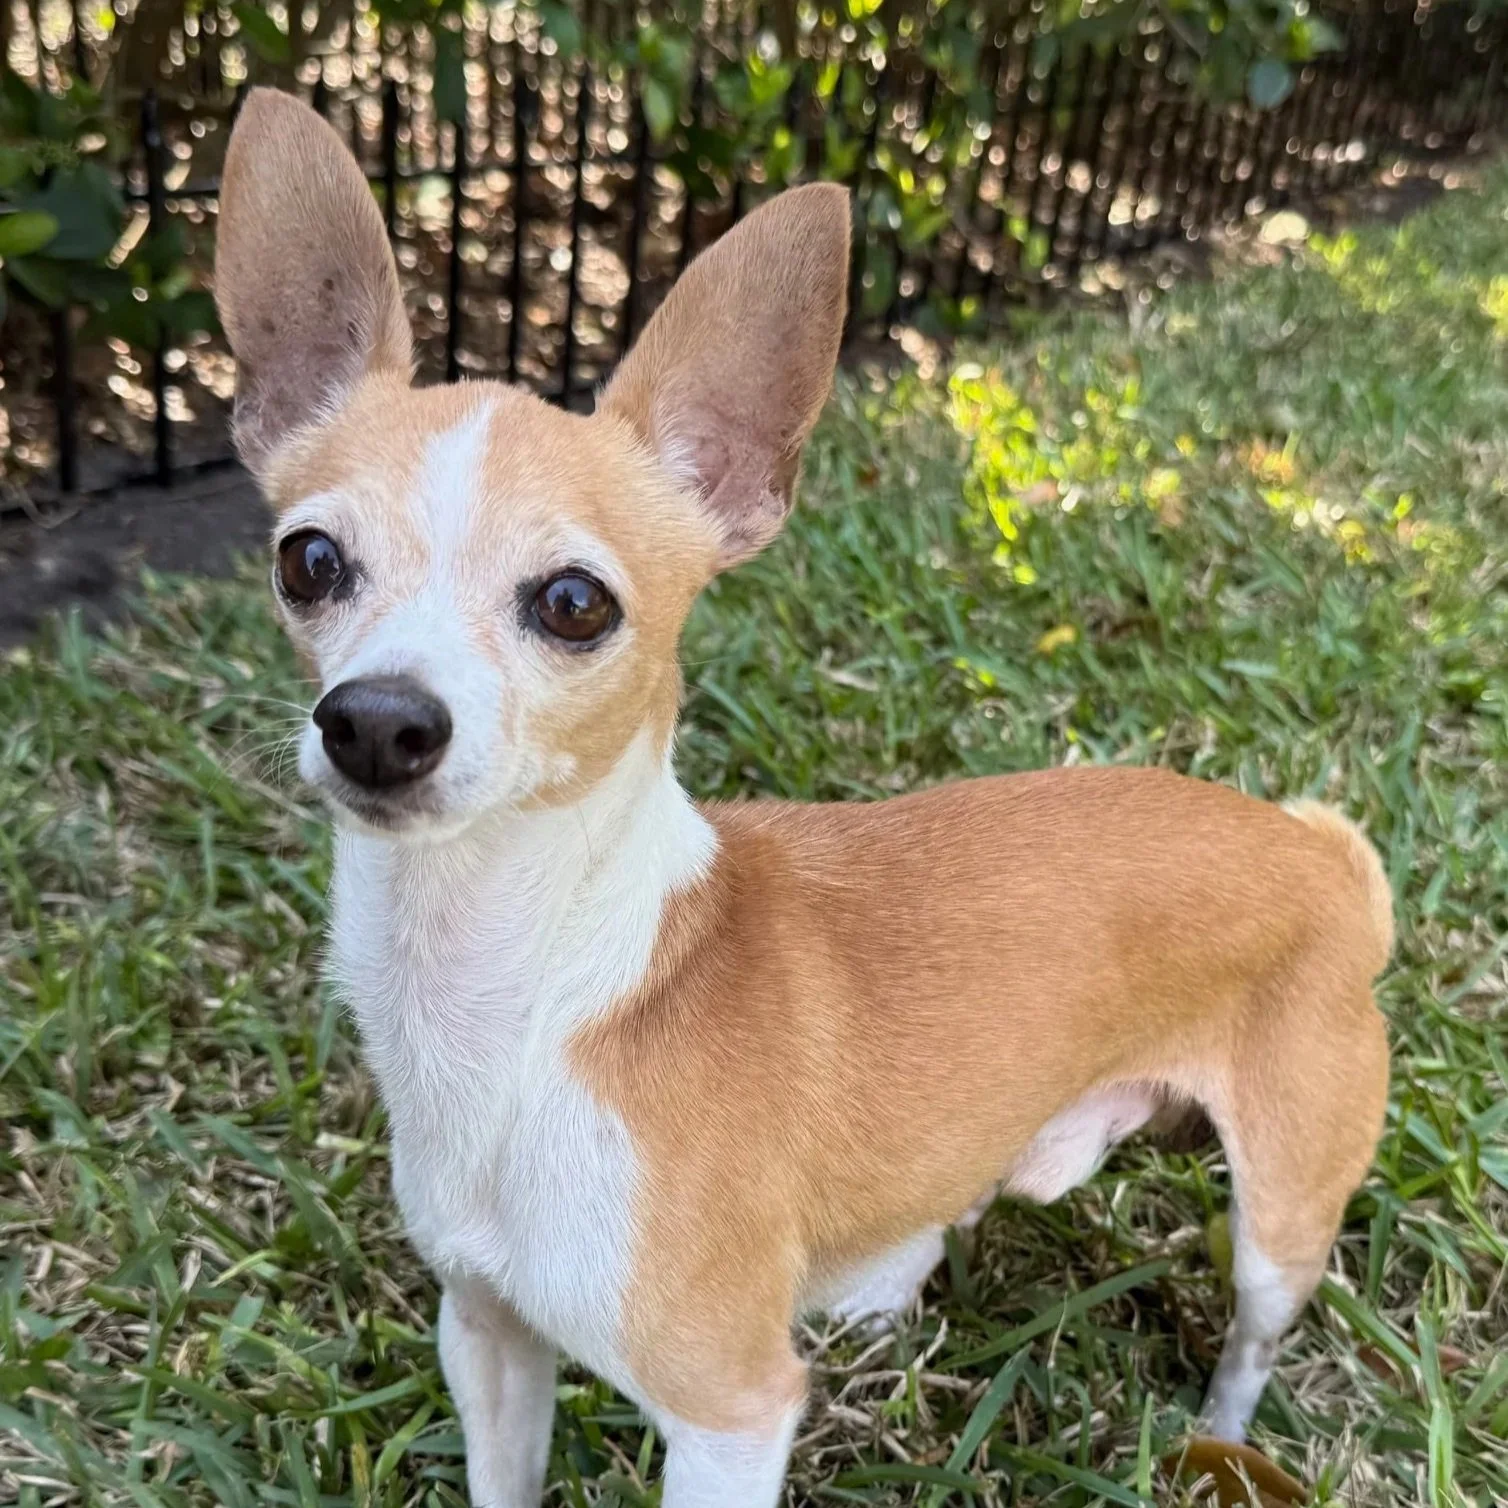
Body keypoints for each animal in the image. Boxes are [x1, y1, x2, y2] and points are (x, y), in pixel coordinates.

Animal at [215, 88, 1392, 1508]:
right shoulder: (486, 1335)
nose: (377, 719)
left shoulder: (729, 1413)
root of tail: (1320, 851)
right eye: (308, 560)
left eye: (574, 601)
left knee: (1251, 1335)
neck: (523, 991)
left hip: (1282, 1212)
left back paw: (1216, 1436)